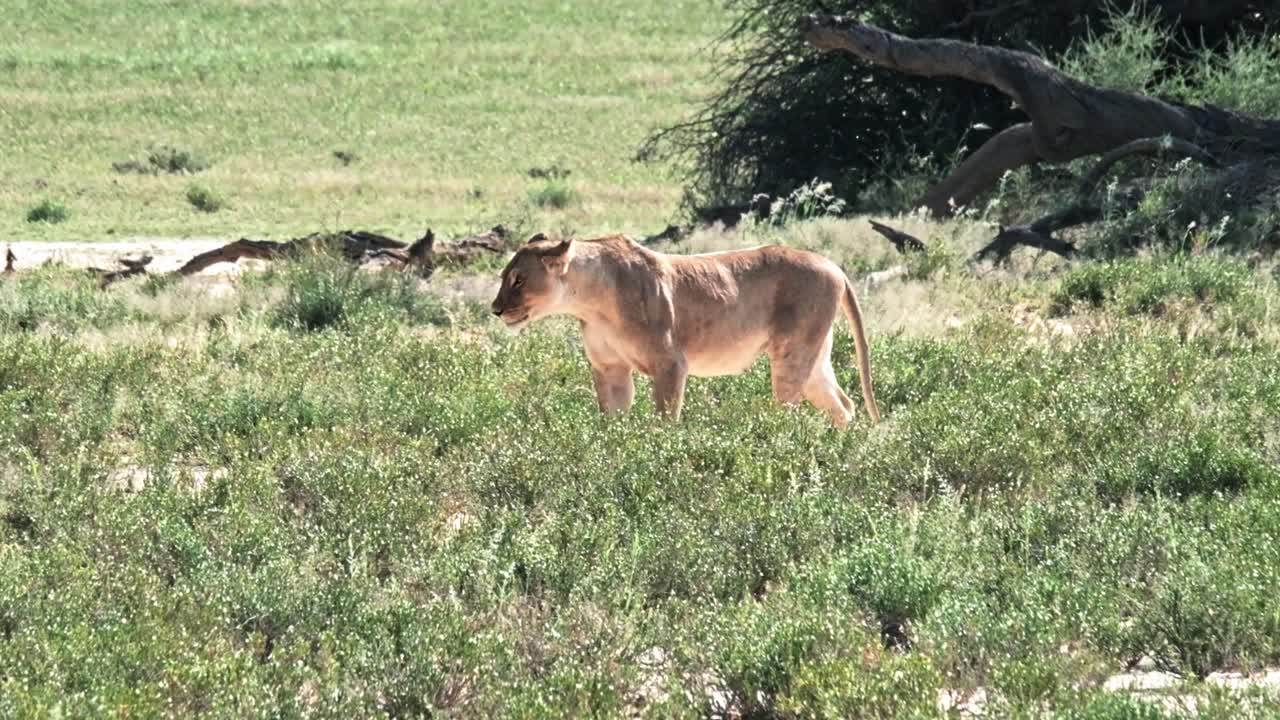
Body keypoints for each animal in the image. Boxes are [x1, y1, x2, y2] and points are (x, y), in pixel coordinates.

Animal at [490, 234, 880, 426]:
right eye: (503, 276)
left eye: (519, 279)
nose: (495, 309)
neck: (590, 300)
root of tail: (834, 265)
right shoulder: (609, 368)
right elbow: (612, 420)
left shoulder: (670, 364)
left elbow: (665, 420)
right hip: (814, 359)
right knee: (844, 405)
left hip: (792, 356)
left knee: (791, 412)